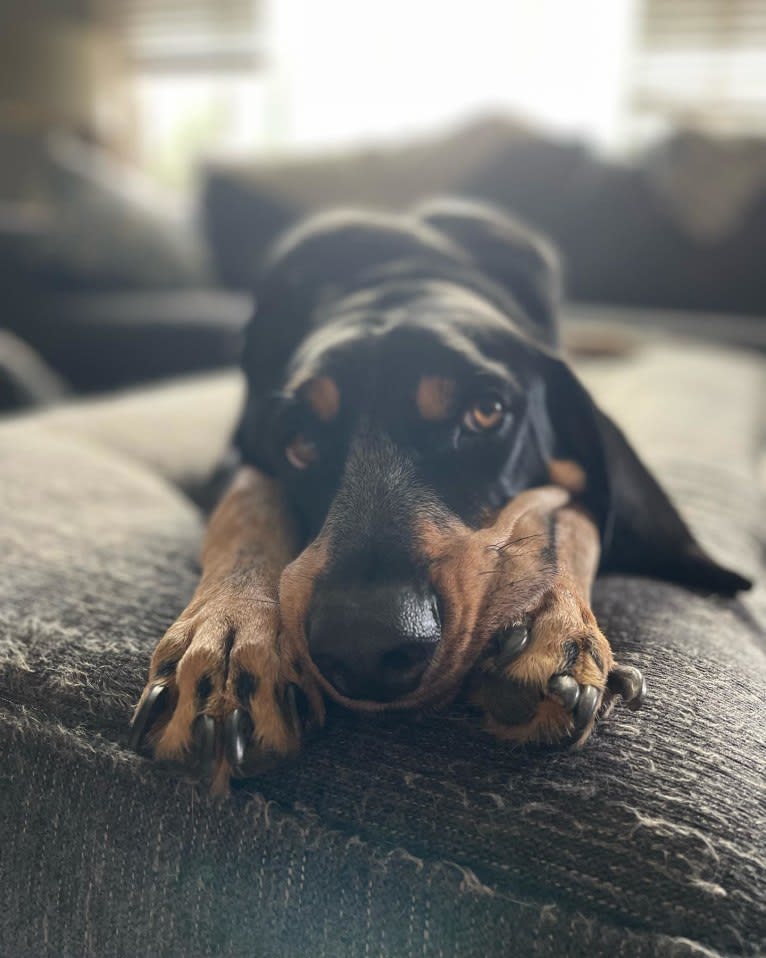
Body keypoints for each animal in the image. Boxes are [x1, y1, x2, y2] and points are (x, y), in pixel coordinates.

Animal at [129, 199, 752, 792]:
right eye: (299, 441)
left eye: (486, 412)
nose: (364, 646)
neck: (398, 275)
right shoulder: (238, 455)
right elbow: (248, 503)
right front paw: (230, 639)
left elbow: (574, 513)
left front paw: (549, 619)